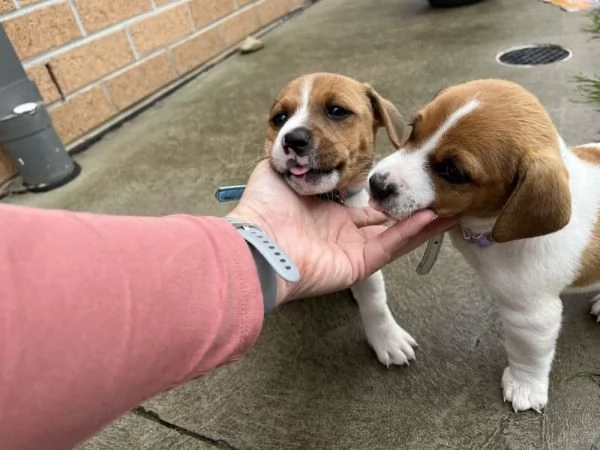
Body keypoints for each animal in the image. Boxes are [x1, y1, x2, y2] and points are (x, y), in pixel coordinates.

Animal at [264, 73, 414, 366]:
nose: (292, 139)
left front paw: (387, 338)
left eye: (336, 110)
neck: (332, 197)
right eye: (280, 118)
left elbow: (375, 301)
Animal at [368, 79, 600, 414]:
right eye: (413, 128)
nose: (375, 184)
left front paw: (525, 386)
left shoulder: (532, 315)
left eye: (453, 171)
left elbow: (527, 354)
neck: (486, 228)